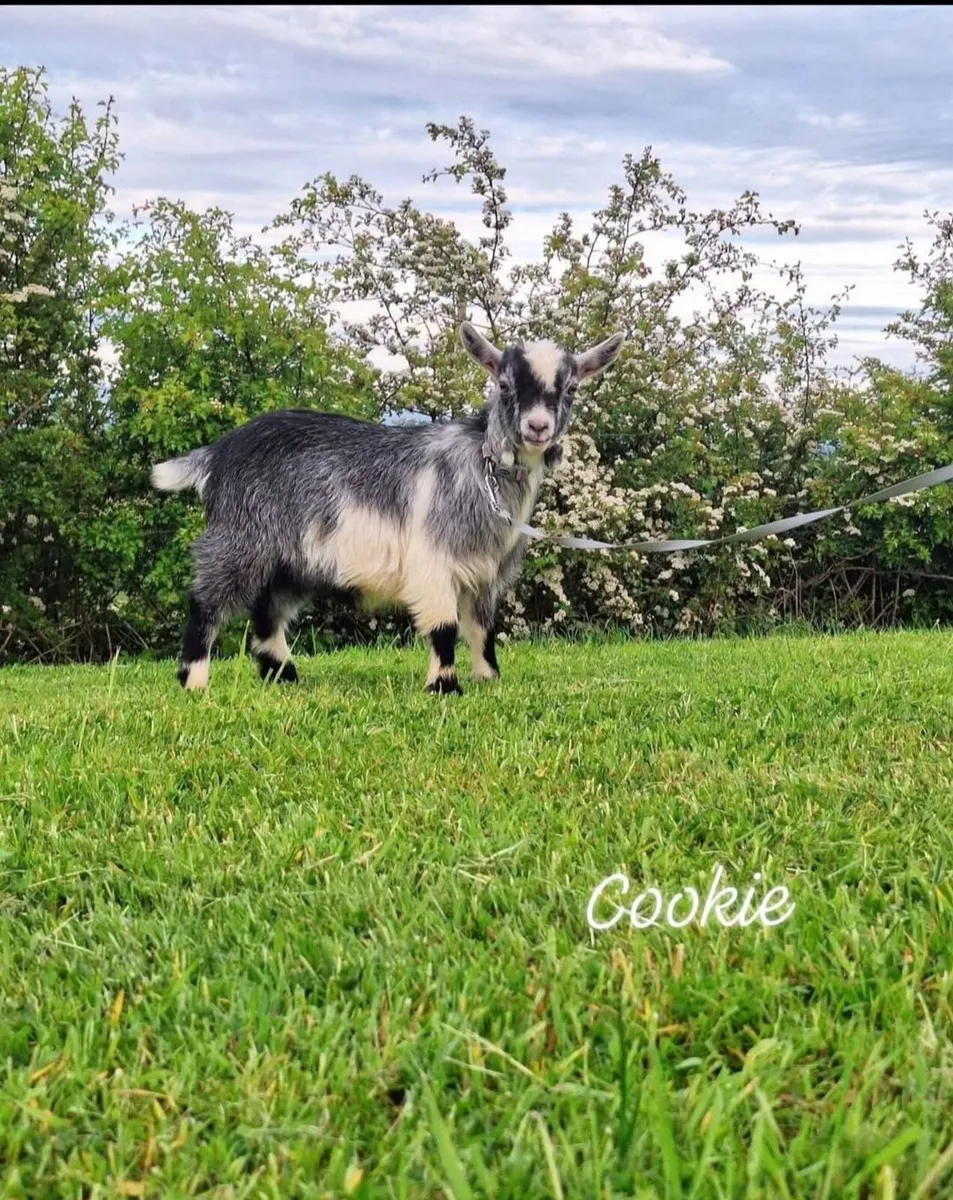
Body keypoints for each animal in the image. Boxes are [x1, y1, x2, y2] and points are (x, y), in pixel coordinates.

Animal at [151, 323, 625, 694]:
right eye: (505, 385)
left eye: (571, 389)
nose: (538, 427)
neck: (483, 467)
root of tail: (219, 453)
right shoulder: (434, 561)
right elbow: (444, 626)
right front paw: (444, 686)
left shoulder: (485, 573)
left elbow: (482, 629)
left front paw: (489, 679)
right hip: (240, 540)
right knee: (205, 601)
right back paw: (194, 680)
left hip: (293, 559)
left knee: (268, 609)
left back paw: (282, 674)